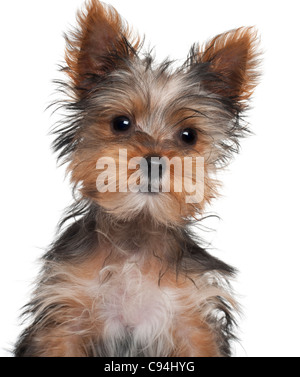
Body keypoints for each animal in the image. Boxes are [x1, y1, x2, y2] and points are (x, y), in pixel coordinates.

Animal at [14, 0, 258, 356]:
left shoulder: (193, 322)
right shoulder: (63, 321)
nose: (154, 161)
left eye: (189, 135)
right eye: (121, 123)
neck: (136, 238)